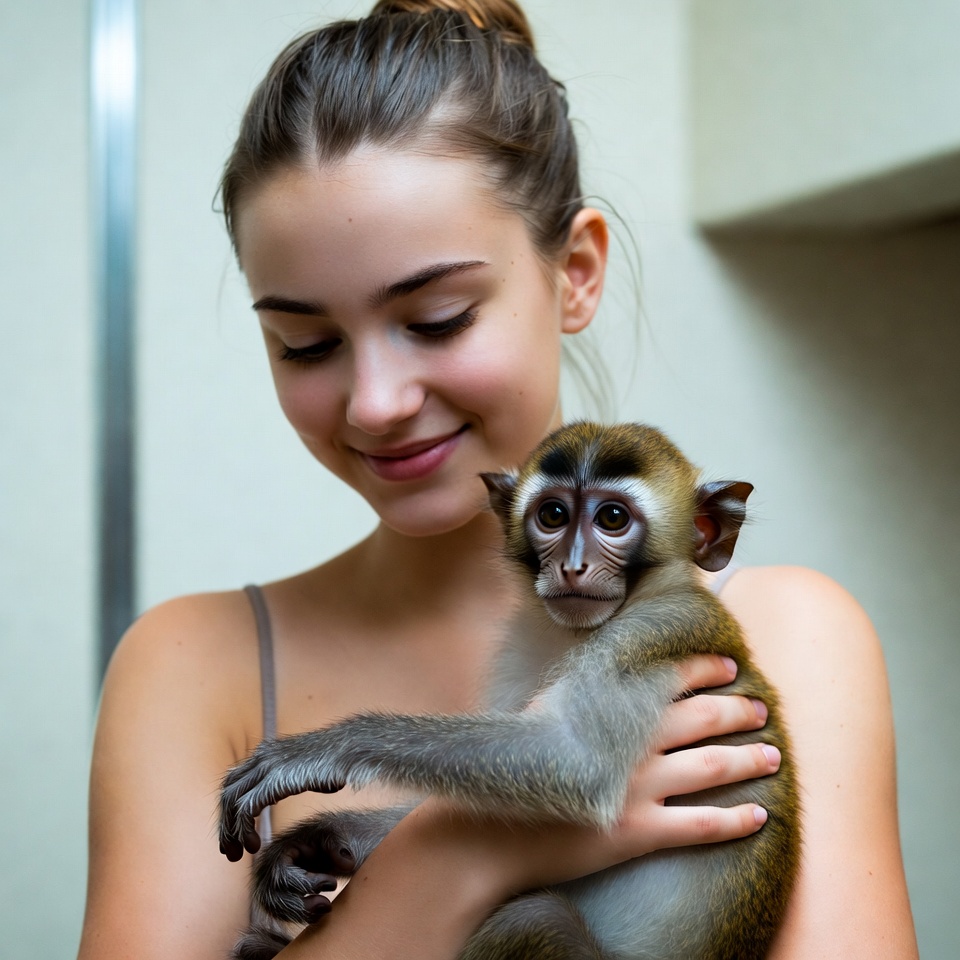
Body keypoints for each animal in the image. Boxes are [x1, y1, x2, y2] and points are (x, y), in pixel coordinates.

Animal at [220, 421, 800, 960]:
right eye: (553, 515)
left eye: (613, 519)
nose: (573, 565)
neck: (573, 634)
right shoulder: (520, 644)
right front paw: (318, 842)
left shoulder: (658, 632)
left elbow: (581, 766)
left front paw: (324, 750)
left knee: (534, 916)